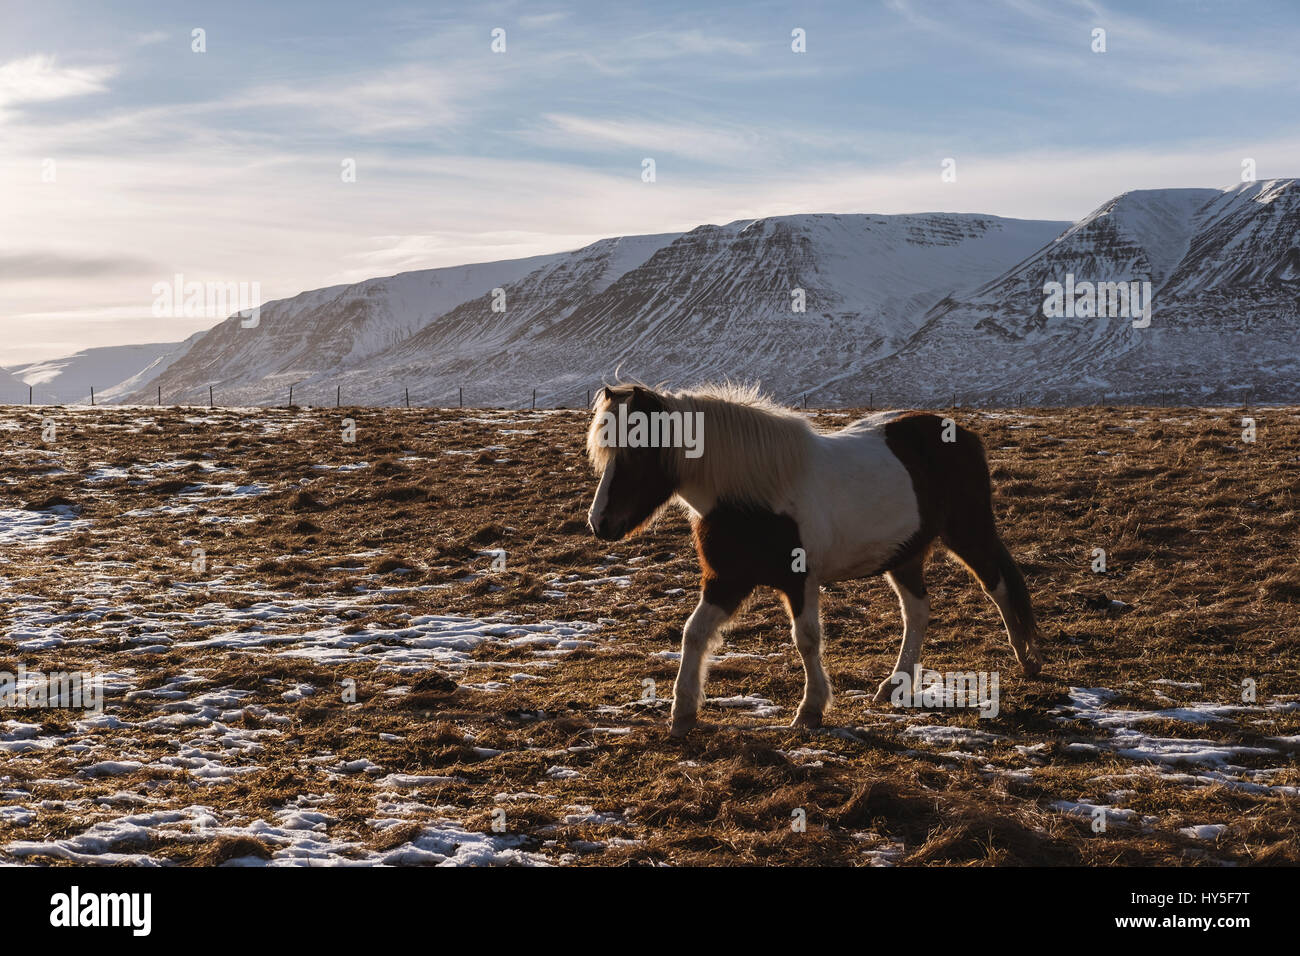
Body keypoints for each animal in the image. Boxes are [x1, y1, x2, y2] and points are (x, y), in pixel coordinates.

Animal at [585, 382, 1040, 738]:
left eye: (637, 452)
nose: (599, 522)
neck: (753, 492)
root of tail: (962, 434)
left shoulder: (799, 580)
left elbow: (805, 639)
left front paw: (811, 710)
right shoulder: (725, 580)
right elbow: (694, 634)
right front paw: (682, 713)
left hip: (968, 533)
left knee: (997, 586)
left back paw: (1027, 658)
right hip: (904, 554)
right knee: (918, 611)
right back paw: (894, 684)